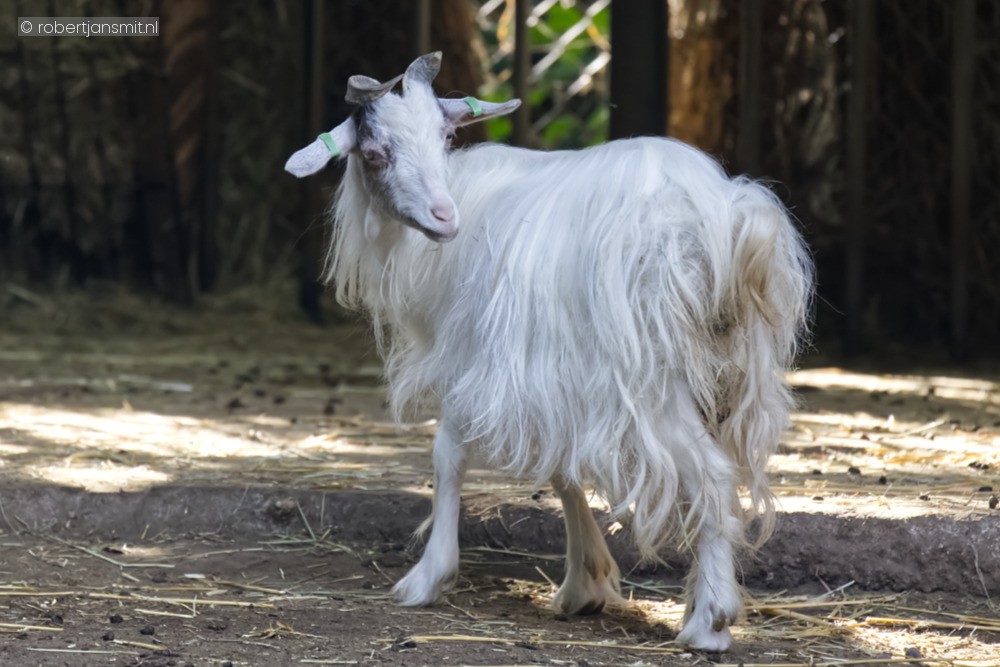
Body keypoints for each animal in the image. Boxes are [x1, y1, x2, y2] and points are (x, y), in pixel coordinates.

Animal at [286, 52, 813, 651]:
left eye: (444, 138)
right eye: (376, 152)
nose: (444, 217)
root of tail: (725, 222)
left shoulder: (477, 358)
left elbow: (449, 456)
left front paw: (428, 576)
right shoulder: (555, 377)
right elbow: (564, 471)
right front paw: (586, 581)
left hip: (652, 382)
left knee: (713, 477)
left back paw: (711, 623)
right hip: (735, 371)